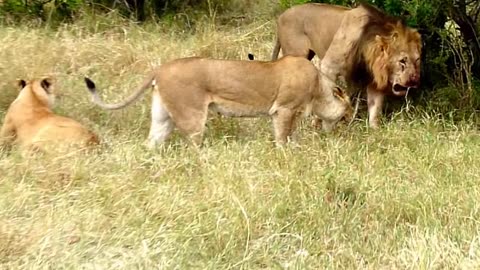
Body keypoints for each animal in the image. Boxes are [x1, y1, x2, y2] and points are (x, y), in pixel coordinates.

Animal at [83, 55, 352, 148]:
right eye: (346, 116)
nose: (347, 127)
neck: (318, 87)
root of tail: (160, 68)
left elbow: (291, 135)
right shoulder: (284, 109)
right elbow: (283, 137)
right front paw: (286, 155)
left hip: (162, 117)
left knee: (151, 142)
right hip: (191, 116)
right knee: (193, 147)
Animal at [272, 2, 422, 127]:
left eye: (417, 60)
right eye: (402, 60)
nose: (414, 81)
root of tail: (281, 16)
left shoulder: (374, 79)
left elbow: (375, 110)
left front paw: (375, 132)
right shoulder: (328, 66)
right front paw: (317, 125)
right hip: (296, 54)